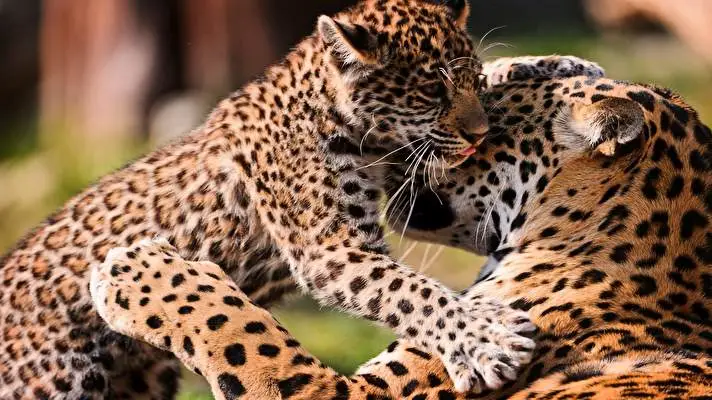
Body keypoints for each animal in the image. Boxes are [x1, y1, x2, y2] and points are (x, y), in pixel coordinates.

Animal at [0, 1, 567, 398]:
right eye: (432, 92)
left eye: (472, 80)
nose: (479, 133)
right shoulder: (331, 249)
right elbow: (413, 292)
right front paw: (488, 341)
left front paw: (555, 66)